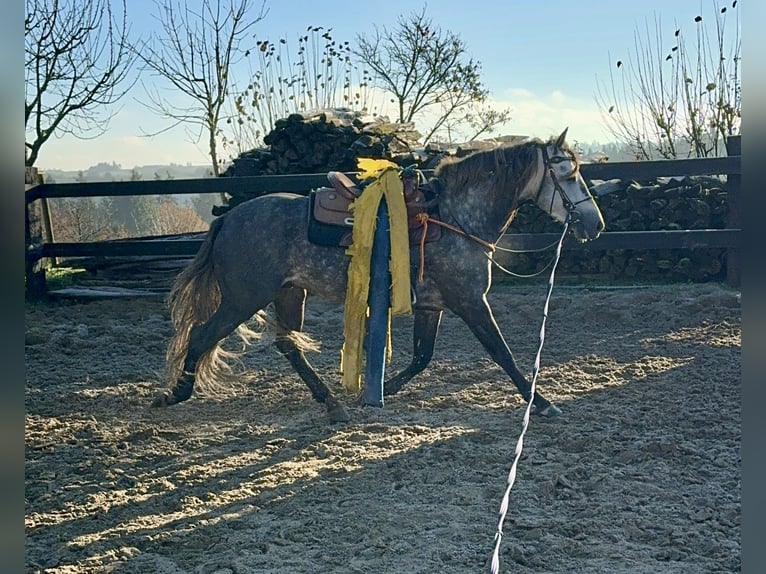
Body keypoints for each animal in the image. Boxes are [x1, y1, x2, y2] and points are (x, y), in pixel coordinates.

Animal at [150, 129, 608, 424]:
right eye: (568, 175)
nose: (596, 225)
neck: (456, 217)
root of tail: (226, 220)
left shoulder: (433, 306)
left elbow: (422, 357)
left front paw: (382, 390)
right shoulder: (470, 301)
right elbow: (502, 353)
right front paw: (542, 403)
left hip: (288, 294)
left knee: (287, 345)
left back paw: (333, 404)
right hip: (244, 299)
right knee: (202, 336)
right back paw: (176, 393)